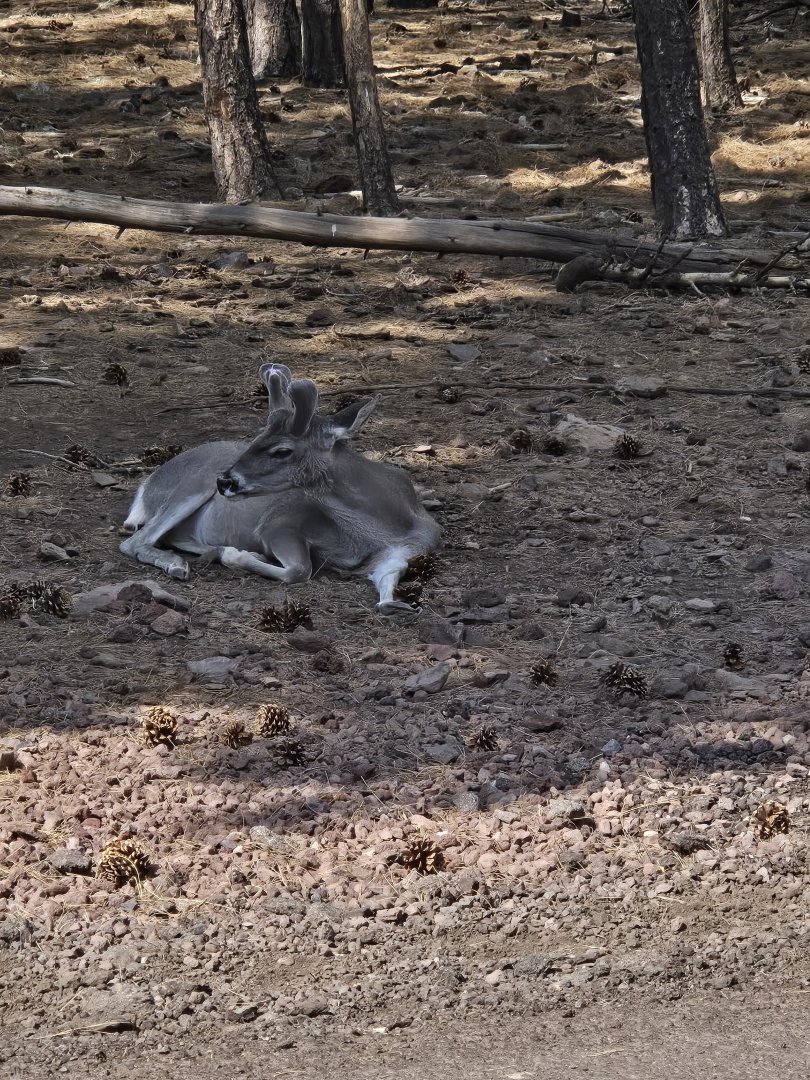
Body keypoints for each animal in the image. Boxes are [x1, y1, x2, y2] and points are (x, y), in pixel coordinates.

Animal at [119, 364, 440, 613]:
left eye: (282, 450)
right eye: (255, 438)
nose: (225, 481)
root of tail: (148, 484)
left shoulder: (410, 548)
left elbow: (388, 577)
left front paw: (396, 604)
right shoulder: (278, 522)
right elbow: (299, 570)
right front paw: (237, 555)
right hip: (190, 484)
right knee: (133, 541)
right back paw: (180, 565)